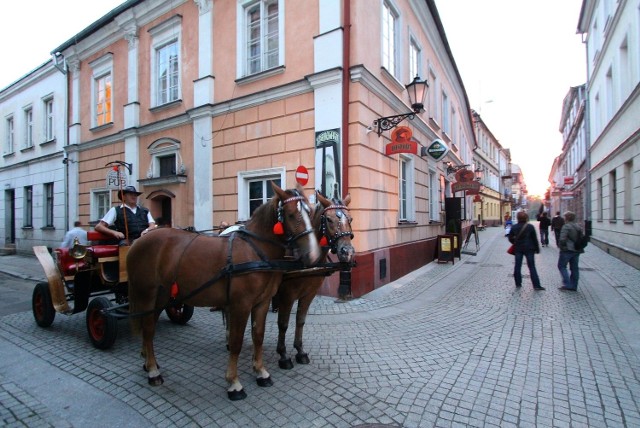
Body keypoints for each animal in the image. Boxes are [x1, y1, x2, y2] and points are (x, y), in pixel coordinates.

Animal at [127, 184, 320, 402]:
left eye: (310, 213)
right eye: (291, 214)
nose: (313, 254)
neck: (255, 251)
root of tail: (140, 240)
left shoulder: (262, 303)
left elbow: (258, 336)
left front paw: (260, 372)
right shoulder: (240, 305)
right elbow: (236, 342)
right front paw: (234, 383)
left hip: (162, 296)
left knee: (148, 326)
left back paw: (147, 361)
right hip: (146, 293)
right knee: (148, 329)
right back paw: (153, 371)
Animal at [274, 192, 358, 370]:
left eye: (351, 219)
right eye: (329, 219)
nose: (347, 252)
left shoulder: (309, 294)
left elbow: (300, 321)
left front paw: (300, 351)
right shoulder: (287, 295)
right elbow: (283, 324)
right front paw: (283, 355)